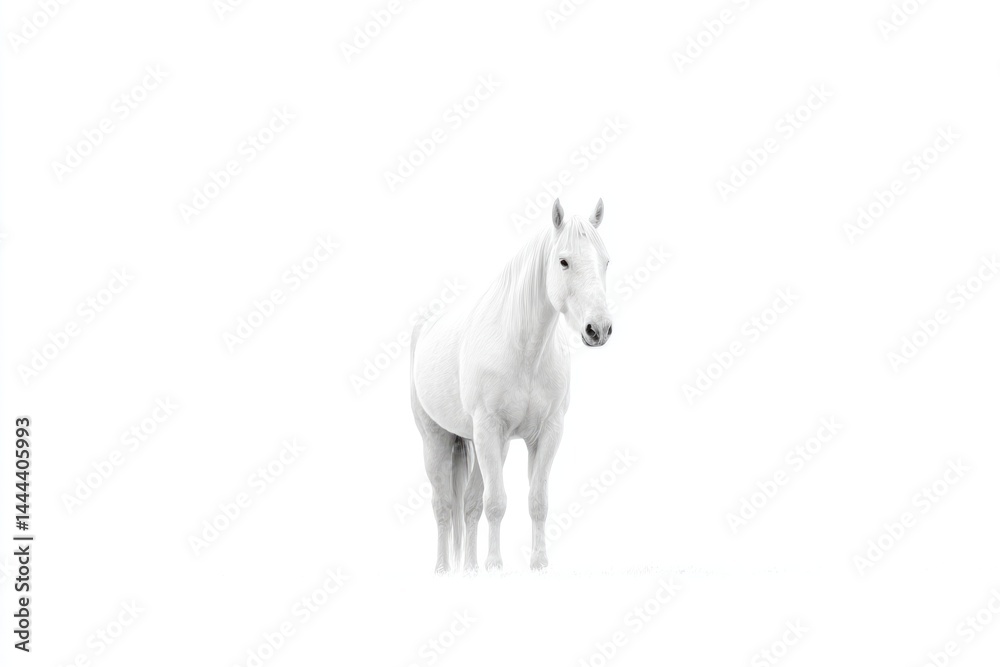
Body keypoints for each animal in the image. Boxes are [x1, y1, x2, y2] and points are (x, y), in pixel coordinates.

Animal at [409, 198, 613, 573]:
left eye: (605, 261)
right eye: (563, 261)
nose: (599, 329)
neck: (523, 352)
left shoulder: (547, 433)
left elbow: (536, 501)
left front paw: (538, 564)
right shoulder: (490, 430)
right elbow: (496, 503)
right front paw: (494, 565)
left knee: (469, 504)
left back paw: (469, 568)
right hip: (436, 440)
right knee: (443, 506)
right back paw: (443, 568)